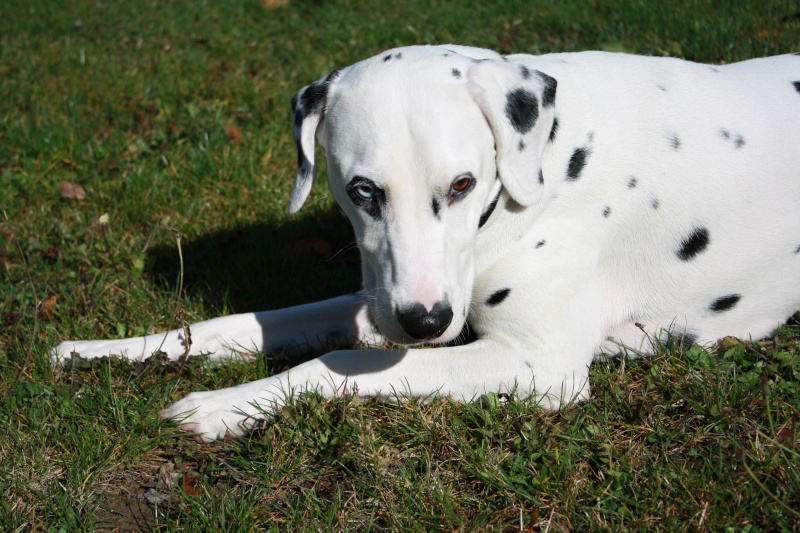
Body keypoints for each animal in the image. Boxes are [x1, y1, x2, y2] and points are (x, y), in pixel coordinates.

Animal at [54, 44, 800, 440]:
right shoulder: (376, 299)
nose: (425, 320)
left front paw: (222, 405)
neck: (548, 155)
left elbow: (336, 364)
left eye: (463, 183)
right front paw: (106, 351)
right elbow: (231, 324)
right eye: (362, 190)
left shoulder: (539, 363)